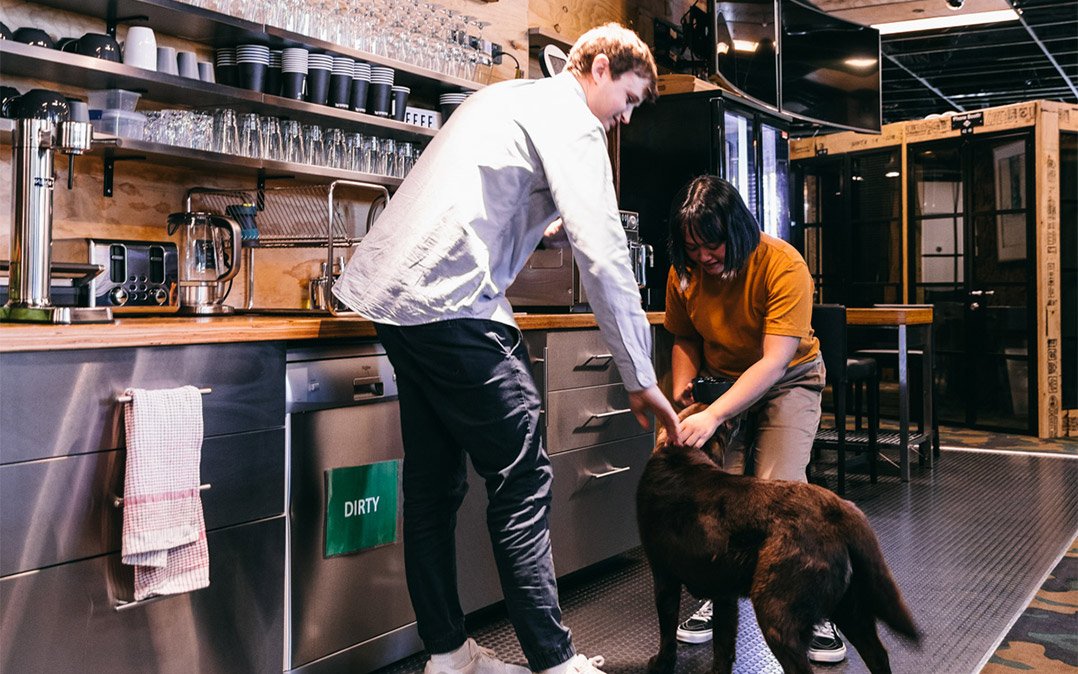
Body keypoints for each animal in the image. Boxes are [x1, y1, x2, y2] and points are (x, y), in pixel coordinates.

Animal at [633, 405, 922, 672]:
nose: (741, 414)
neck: (679, 457)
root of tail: (839, 508)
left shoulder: (665, 579)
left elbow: (667, 635)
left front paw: (660, 664)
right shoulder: (724, 595)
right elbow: (723, 646)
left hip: (776, 612)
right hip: (850, 608)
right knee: (878, 654)